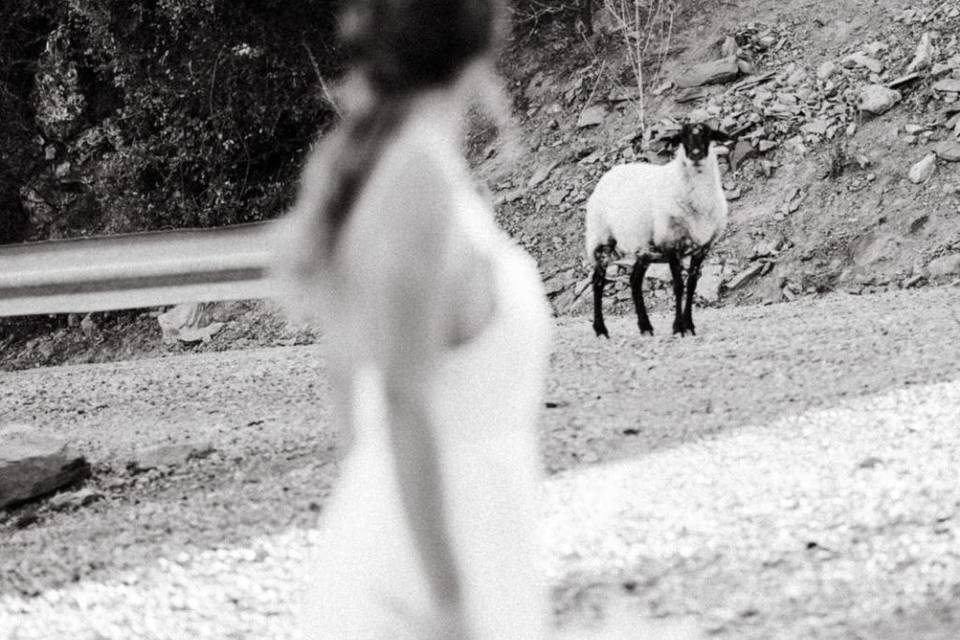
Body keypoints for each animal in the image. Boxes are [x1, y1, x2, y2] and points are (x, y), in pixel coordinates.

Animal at [580, 121, 732, 340]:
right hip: (602, 240)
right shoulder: (672, 244)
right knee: (598, 281)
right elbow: (678, 286)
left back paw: (645, 327)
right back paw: (601, 330)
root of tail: (610, 173)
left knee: (634, 281)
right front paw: (678, 327)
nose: (695, 155)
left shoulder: (702, 247)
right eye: (682, 136)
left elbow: (692, 285)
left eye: (708, 134)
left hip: (644, 249)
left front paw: (689, 325)